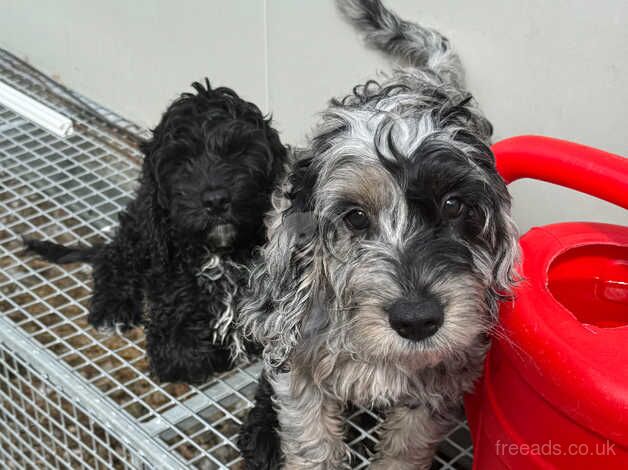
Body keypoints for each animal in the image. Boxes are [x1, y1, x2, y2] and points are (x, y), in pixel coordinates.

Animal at [25, 79, 288, 384]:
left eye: (239, 152)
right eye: (181, 161)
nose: (216, 200)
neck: (223, 254)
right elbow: (182, 354)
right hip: (142, 225)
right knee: (115, 254)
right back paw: (111, 307)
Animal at [238, 1, 516, 468]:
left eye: (453, 205)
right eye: (354, 217)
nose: (417, 319)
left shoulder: (439, 380)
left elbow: (407, 446)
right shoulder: (299, 368)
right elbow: (311, 441)